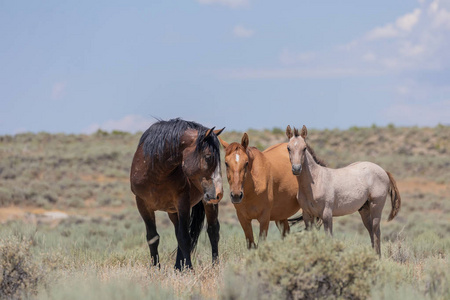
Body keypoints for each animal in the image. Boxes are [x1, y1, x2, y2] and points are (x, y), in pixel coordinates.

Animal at [130, 119, 225, 270]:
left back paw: (214, 265)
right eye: (208, 157)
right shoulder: (143, 204)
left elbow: (185, 238)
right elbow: (153, 237)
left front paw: (189, 269)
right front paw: (155, 268)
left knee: (212, 231)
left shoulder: (182, 202)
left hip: (208, 203)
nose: (219, 193)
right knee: (178, 231)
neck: (156, 173)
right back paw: (178, 266)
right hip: (173, 211)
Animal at [284, 124, 400, 255]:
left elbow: (329, 237)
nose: (296, 169)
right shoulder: (307, 215)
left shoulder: (327, 214)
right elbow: (311, 237)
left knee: (376, 231)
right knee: (371, 231)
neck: (315, 182)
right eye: (288, 148)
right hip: (364, 209)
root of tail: (383, 171)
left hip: (376, 206)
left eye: (304, 148)